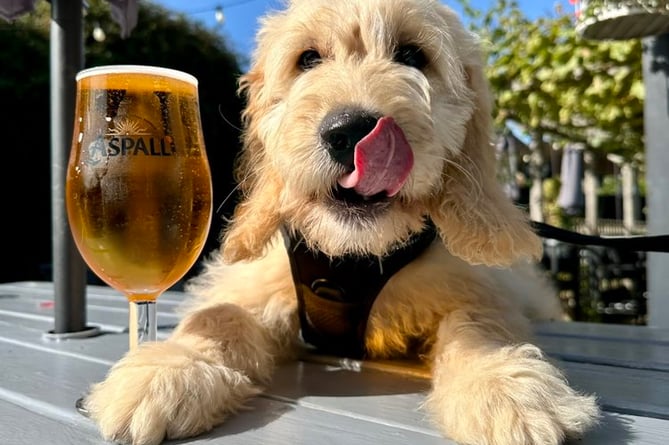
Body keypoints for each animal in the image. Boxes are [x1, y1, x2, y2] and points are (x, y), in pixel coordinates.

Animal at [83, 0, 600, 444]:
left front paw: (505, 386)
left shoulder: (477, 287)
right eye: (308, 59)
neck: (352, 254)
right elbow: (221, 315)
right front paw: (167, 368)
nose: (350, 131)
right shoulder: (254, 282)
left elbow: (478, 323)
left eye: (413, 55)